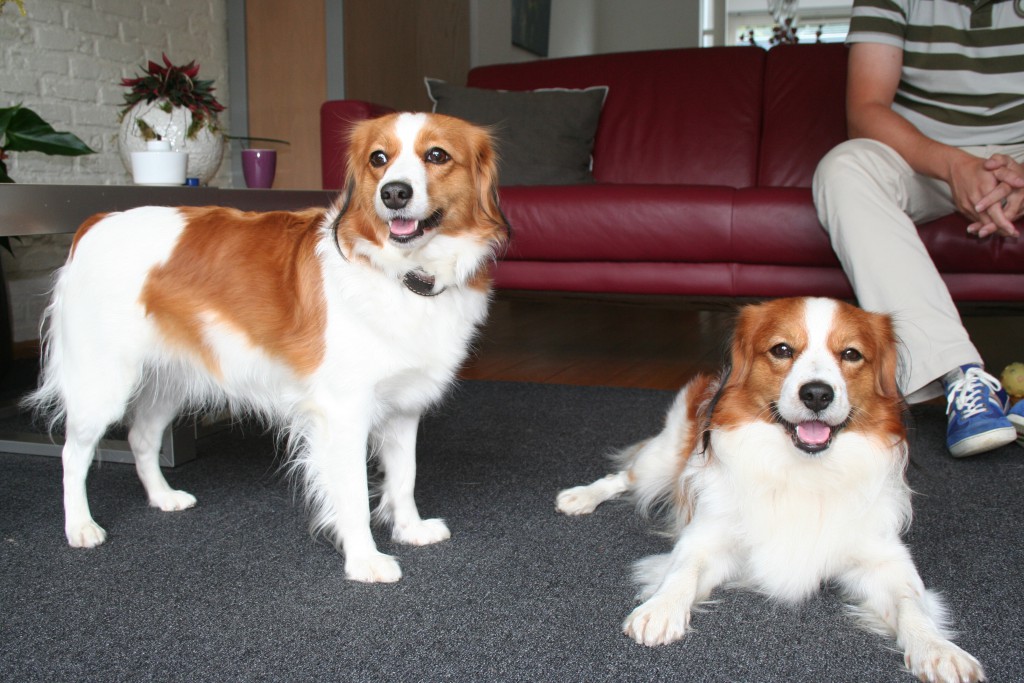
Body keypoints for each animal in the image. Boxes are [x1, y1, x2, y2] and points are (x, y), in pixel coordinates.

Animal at [29, 112, 509, 581]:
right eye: (378, 158)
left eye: (437, 155)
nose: (393, 193)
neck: (406, 274)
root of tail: (96, 222)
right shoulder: (343, 412)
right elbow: (353, 493)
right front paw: (364, 560)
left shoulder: (404, 407)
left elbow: (404, 475)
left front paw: (409, 528)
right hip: (102, 384)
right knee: (73, 454)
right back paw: (80, 525)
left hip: (172, 382)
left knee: (141, 436)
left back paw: (163, 497)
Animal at [557, 299, 987, 683]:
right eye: (782, 349)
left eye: (851, 354)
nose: (817, 394)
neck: (803, 471)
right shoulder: (709, 535)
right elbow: (683, 568)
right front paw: (660, 609)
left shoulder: (885, 559)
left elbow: (911, 603)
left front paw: (937, 649)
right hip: (661, 460)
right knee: (624, 476)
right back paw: (579, 497)